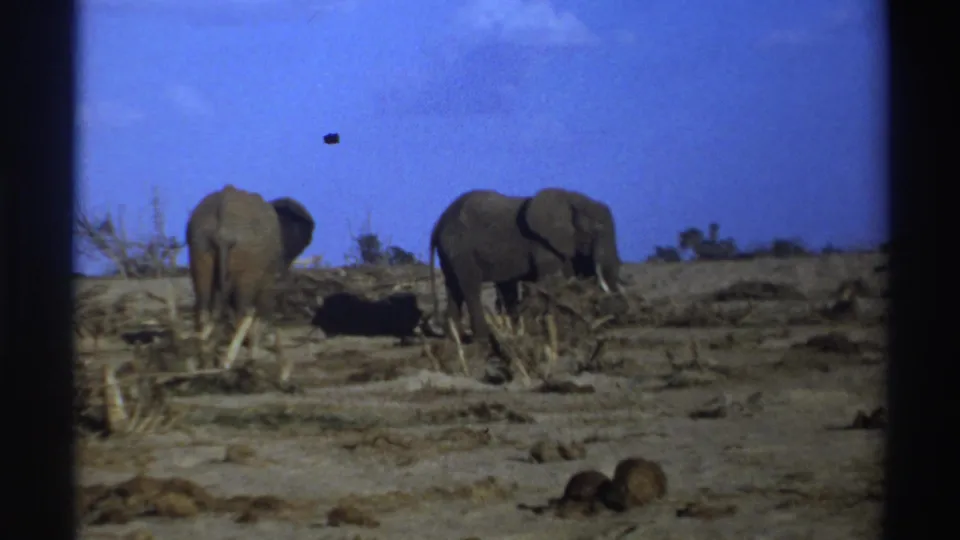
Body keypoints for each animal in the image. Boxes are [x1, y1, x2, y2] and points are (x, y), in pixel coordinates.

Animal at [185, 184, 315, 370]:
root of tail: (223, 228)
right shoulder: (267, 279)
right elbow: (263, 312)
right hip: (248, 266)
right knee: (245, 311)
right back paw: (228, 361)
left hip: (200, 253)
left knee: (202, 308)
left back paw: (205, 360)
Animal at [428, 187, 623, 347]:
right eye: (596, 230)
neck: (570, 198)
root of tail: (438, 223)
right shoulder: (542, 244)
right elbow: (552, 280)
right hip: (460, 247)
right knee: (470, 287)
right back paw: (482, 340)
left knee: (454, 287)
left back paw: (456, 339)